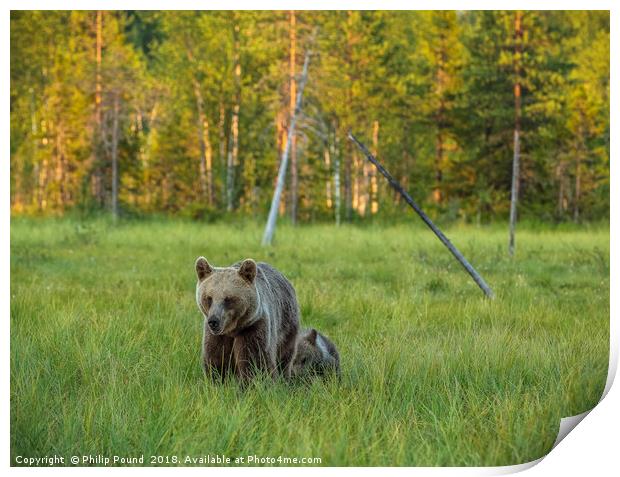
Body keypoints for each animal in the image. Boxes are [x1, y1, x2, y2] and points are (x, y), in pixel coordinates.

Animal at [194, 256, 300, 384]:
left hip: (286, 322)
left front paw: (254, 383)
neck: (232, 330)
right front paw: (217, 381)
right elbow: (216, 358)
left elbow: (256, 361)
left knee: (284, 356)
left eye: (228, 299)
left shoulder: (253, 327)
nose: (214, 321)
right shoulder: (217, 336)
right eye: (209, 298)